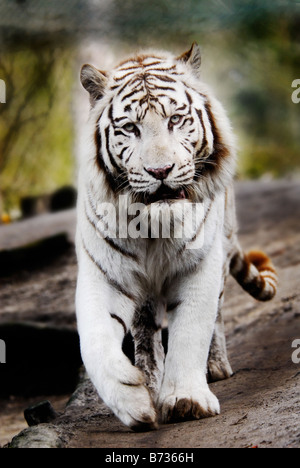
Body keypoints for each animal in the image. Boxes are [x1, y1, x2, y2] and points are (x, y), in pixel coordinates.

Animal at [76, 44, 278, 432]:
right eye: (130, 128)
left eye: (175, 120)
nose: (160, 171)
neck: (152, 228)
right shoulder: (103, 275)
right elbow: (94, 341)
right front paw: (133, 401)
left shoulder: (200, 266)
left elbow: (191, 330)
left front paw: (187, 401)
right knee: (145, 330)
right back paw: (151, 379)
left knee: (216, 317)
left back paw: (215, 366)